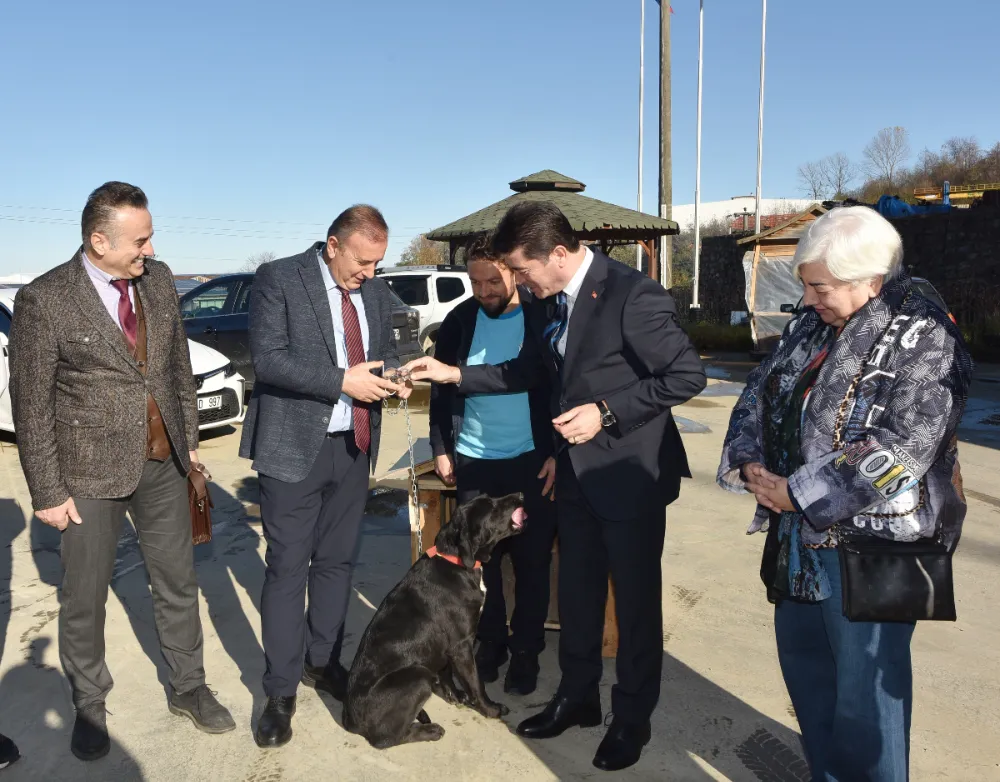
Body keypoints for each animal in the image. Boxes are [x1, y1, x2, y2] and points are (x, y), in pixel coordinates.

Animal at [344, 494, 528, 752]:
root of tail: (349, 718)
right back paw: (429, 730)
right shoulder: (462, 645)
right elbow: (476, 683)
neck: (457, 561)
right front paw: (491, 709)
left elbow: (447, 672)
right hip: (418, 676)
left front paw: (455, 695)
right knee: (386, 739)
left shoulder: (447, 646)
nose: (520, 495)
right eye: (491, 506)